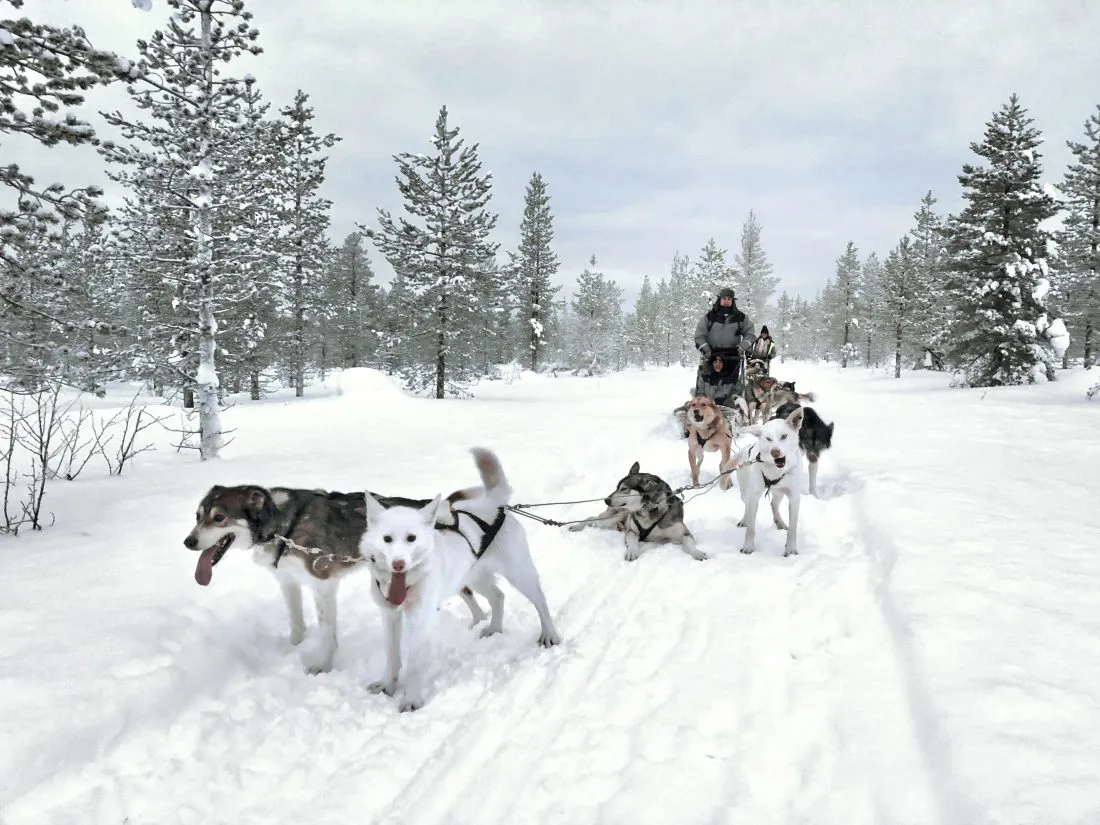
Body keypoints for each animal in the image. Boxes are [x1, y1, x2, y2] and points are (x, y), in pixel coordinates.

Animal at [363, 448, 563, 712]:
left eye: (411, 538)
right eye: (387, 538)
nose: (398, 564)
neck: (407, 582)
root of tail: (492, 503)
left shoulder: (420, 620)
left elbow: (415, 662)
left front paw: (411, 700)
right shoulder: (390, 616)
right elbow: (392, 656)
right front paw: (388, 685)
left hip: (520, 573)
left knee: (539, 600)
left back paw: (549, 634)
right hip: (474, 577)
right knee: (498, 596)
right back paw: (494, 628)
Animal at [730, 409, 809, 558]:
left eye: (784, 436)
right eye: (768, 439)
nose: (775, 452)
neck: (776, 472)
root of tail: (746, 448)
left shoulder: (794, 497)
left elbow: (793, 528)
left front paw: (790, 549)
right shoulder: (754, 496)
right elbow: (751, 528)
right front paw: (748, 546)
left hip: (780, 492)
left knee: (774, 503)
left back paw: (780, 523)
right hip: (746, 492)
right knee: (747, 506)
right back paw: (745, 520)